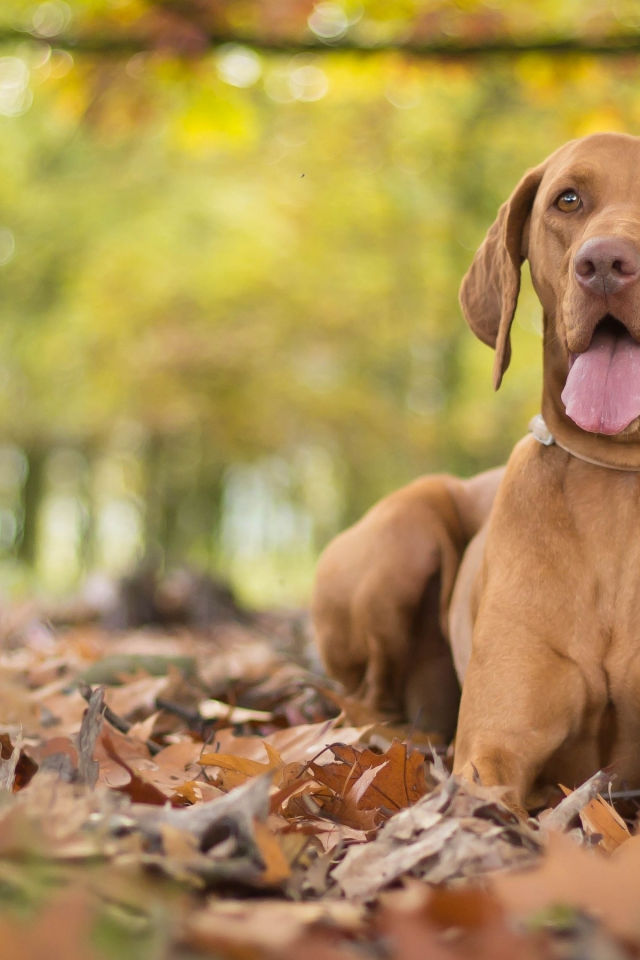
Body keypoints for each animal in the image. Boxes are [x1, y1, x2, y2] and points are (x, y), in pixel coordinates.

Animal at [316, 131, 640, 812]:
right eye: (569, 199)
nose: (604, 264)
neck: (623, 478)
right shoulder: (494, 750)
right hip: (404, 533)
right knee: (364, 697)